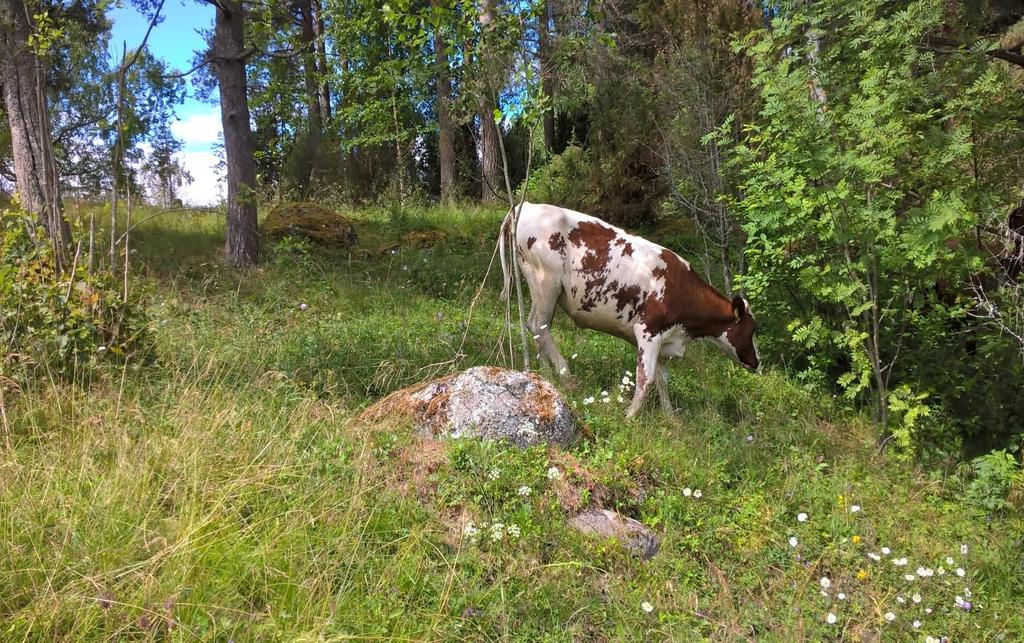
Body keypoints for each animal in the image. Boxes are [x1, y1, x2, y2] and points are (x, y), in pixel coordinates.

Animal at [499, 203, 757, 419]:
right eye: (752, 329)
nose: (756, 362)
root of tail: (526, 205)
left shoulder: (662, 340)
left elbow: (662, 379)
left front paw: (670, 417)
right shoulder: (648, 332)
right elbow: (646, 379)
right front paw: (630, 417)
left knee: (537, 328)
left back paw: (547, 375)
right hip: (546, 283)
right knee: (538, 325)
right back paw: (565, 373)